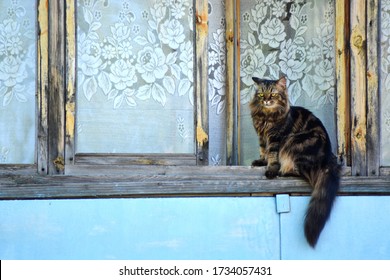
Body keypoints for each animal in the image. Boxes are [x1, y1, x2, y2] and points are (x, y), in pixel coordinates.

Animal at [251, 75, 340, 247]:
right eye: (261, 94)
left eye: (273, 94)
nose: (266, 100)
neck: (266, 116)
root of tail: (329, 157)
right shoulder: (261, 138)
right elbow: (263, 152)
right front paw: (261, 162)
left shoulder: (276, 138)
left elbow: (272, 156)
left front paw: (270, 170)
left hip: (292, 142)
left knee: (297, 171)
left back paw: (282, 172)